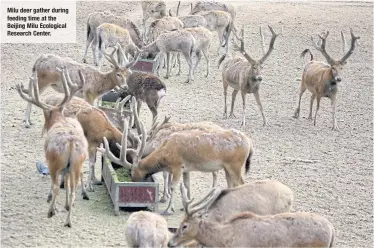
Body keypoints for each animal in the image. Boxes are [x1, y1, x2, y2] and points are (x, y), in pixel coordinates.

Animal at [16, 67, 87, 228]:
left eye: (44, 113)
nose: (45, 125)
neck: (59, 119)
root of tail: (71, 142)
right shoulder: (68, 169)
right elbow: (66, 183)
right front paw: (65, 205)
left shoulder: (49, 160)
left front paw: (51, 202)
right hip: (77, 164)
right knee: (73, 190)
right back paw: (68, 221)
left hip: (55, 162)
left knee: (55, 185)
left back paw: (50, 211)